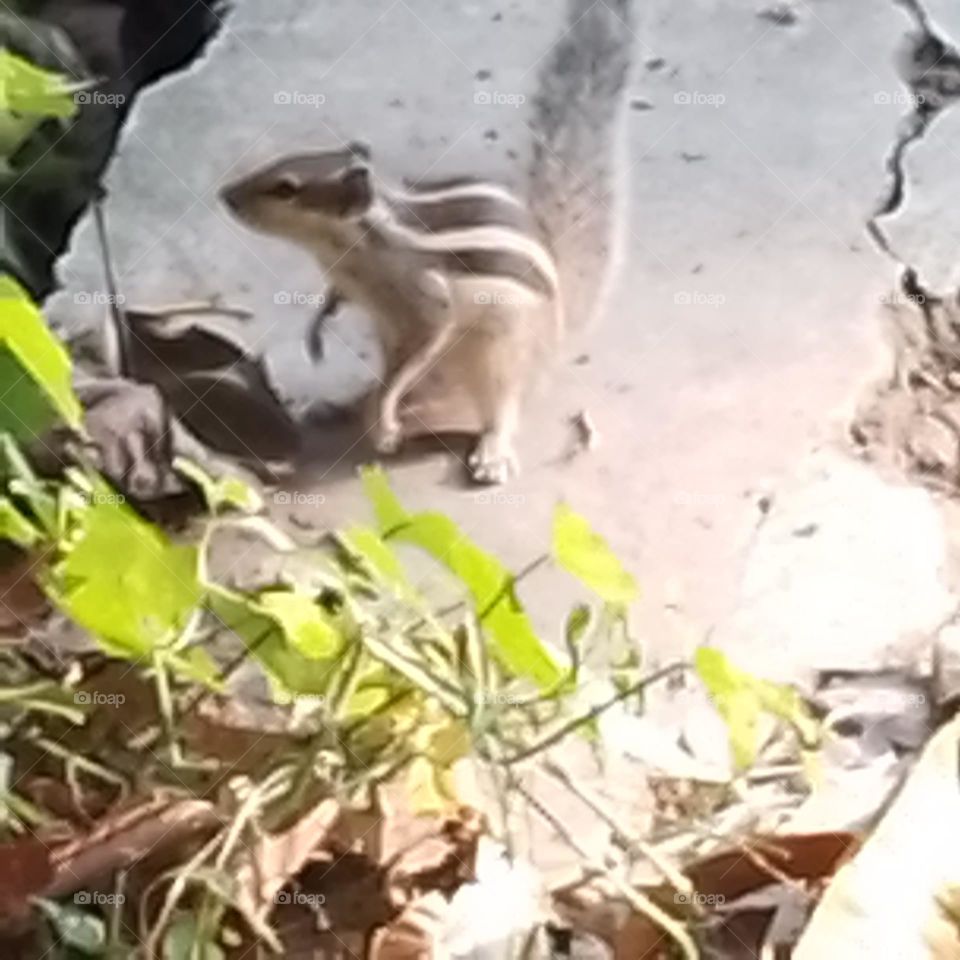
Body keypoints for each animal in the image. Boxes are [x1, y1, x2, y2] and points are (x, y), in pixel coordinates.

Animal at [220, 0, 636, 485]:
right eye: (283, 163)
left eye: (287, 188)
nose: (225, 195)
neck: (353, 247)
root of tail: (558, 329)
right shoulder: (350, 286)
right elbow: (336, 303)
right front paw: (319, 326)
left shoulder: (425, 301)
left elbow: (425, 337)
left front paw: (384, 417)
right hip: (393, 338)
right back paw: (343, 407)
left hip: (499, 353)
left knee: (499, 405)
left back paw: (484, 448)